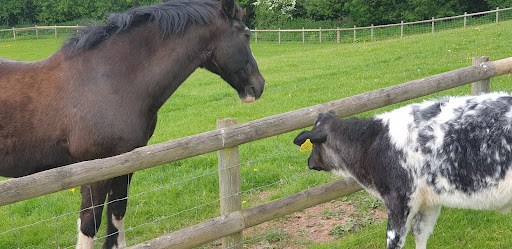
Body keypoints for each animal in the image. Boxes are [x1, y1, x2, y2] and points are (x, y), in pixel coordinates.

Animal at [0, 0, 264, 248]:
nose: (258, 86)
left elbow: (117, 217)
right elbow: (89, 224)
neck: (108, 81)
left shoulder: (124, 164)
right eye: (246, 34)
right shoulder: (94, 170)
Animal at [294, 92, 512, 248]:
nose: (309, 161)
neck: (371, 142)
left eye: (313, 143)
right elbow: (420, 233)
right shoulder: (429, 200)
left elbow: (394, 241)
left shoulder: (398, 199)